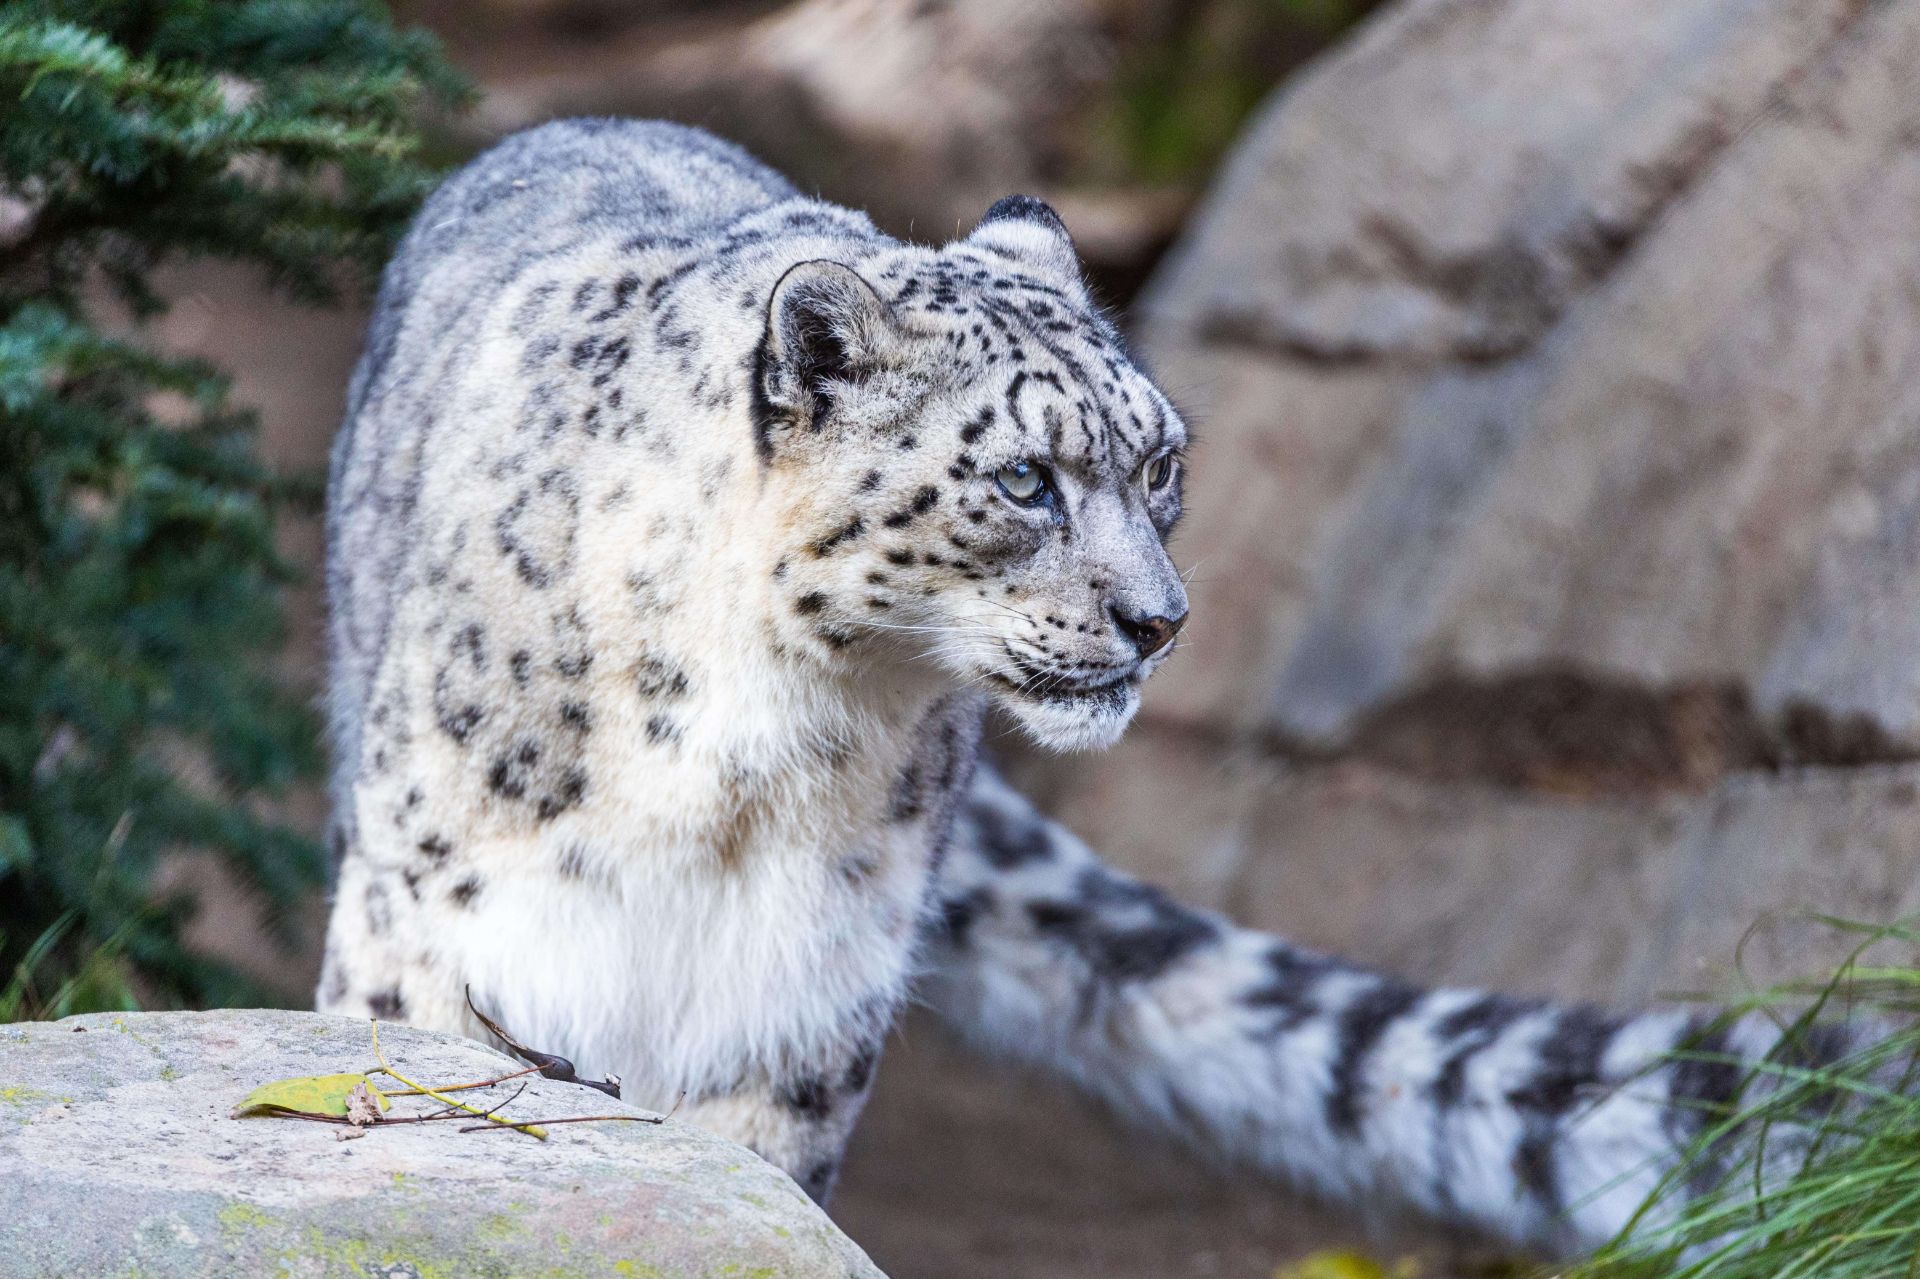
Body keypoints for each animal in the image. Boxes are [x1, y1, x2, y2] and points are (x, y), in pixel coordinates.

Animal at [320, 118, 1860, 1253]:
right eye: (1023, 479)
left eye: (1161, 460)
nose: (1160, 620)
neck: (739, 760)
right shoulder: (428, 932)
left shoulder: (798, 994)